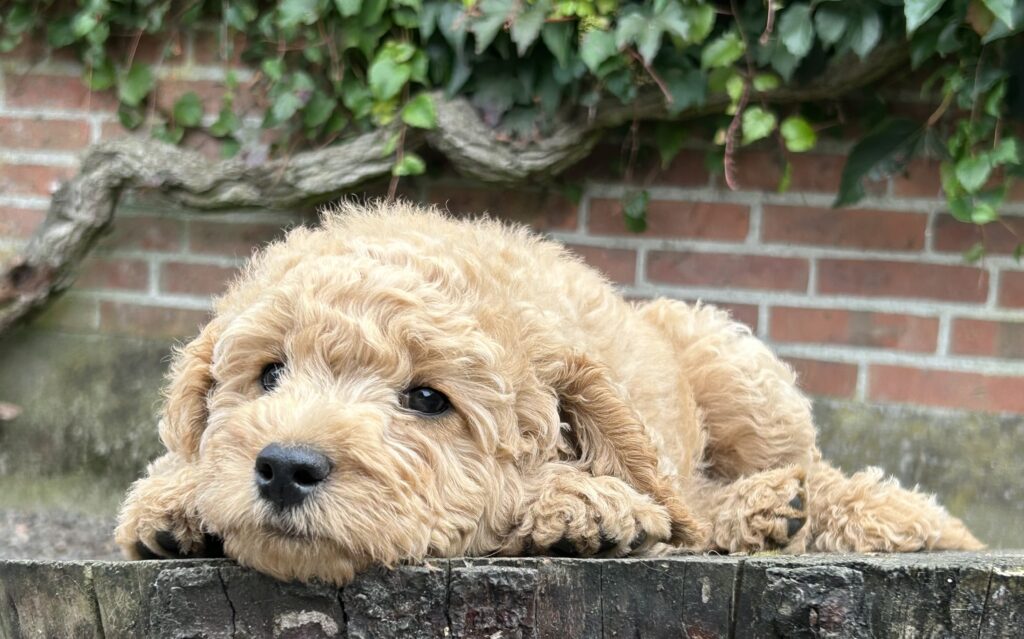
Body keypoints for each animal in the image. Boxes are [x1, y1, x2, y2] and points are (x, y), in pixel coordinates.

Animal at [115, 201, 982, 584]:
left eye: (426, 400)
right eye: (268, 373)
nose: (285, 467)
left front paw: (582, 505)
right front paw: (170, 501)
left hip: (736, 371)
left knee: (795, 478)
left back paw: (788, 506)